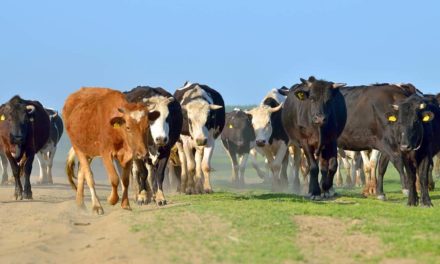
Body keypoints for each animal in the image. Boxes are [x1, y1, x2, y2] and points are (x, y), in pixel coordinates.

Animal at [62, 87, 157, 216]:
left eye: (147, 126)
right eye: (128, 127)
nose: (142, 153)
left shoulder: (128, 156)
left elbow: (125, 180)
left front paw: (125, 204)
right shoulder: (106, 154)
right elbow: (114, 179)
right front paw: (112, 199)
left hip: (88, 150)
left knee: (82, 172)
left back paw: (80, 204)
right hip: (78, 147)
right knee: (89, 176)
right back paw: (96, 206)